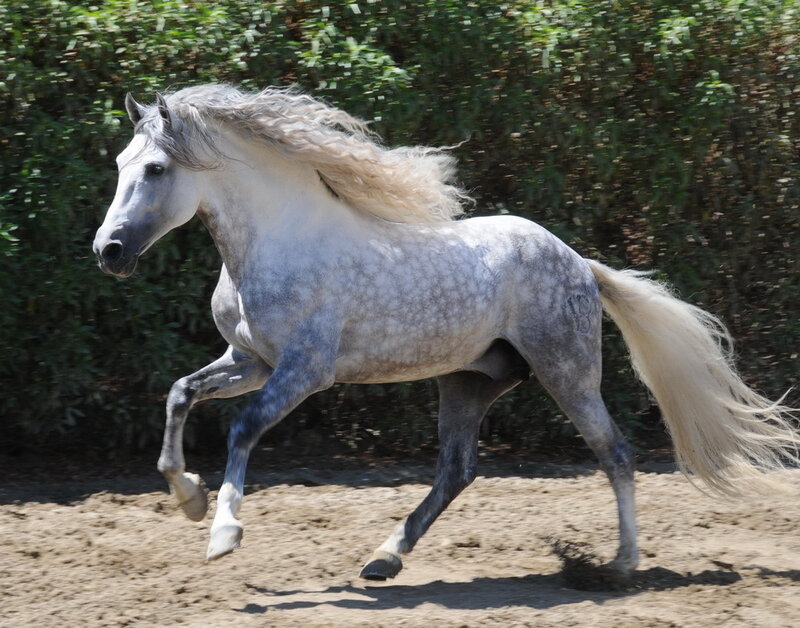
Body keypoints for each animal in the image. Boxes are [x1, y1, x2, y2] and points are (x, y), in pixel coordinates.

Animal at [93, 85, 799, 581]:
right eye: (123, 161)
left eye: (155, 169)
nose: (109, 251)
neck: (275, 245)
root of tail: (579, 262)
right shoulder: (249, 360)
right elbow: (180, 394)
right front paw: (187, 496)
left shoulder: (303, 370)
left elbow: (241, 429)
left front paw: (222, 535)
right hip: (468, 380)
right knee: (458, 470)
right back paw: (384, 557)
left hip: (566, 372)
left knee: (616, 453)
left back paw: (620, 566)